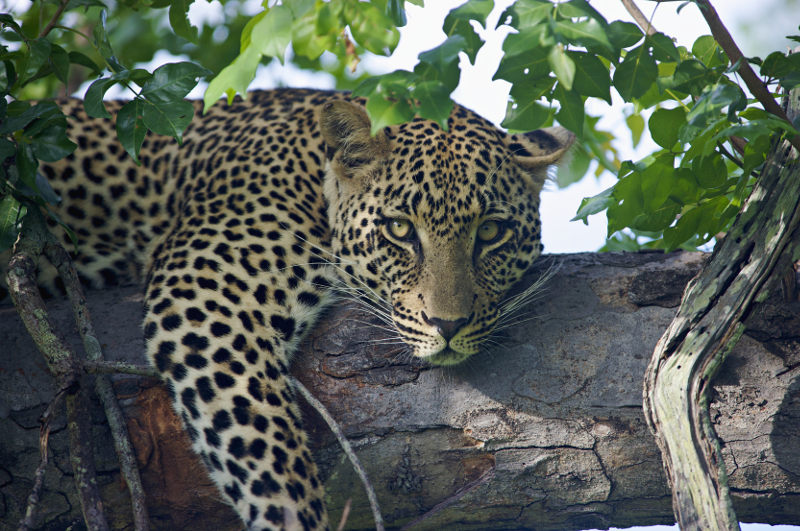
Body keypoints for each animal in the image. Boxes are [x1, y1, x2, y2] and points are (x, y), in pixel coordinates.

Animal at [3, 89, 572, 528]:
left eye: (491, 232)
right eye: (399, 229)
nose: (448, 324)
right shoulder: (205, 286)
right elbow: (262, 445)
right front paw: (292, 516)